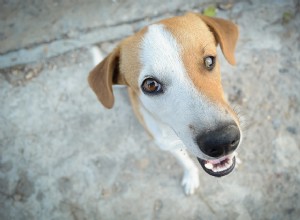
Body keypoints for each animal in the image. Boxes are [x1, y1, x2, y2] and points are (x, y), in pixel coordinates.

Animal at [86, 12, 241, 194]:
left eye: (210, 61)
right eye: (150, 85)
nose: (222, 141)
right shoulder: (167, 145)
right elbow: (185, 162)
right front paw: (191, 176)